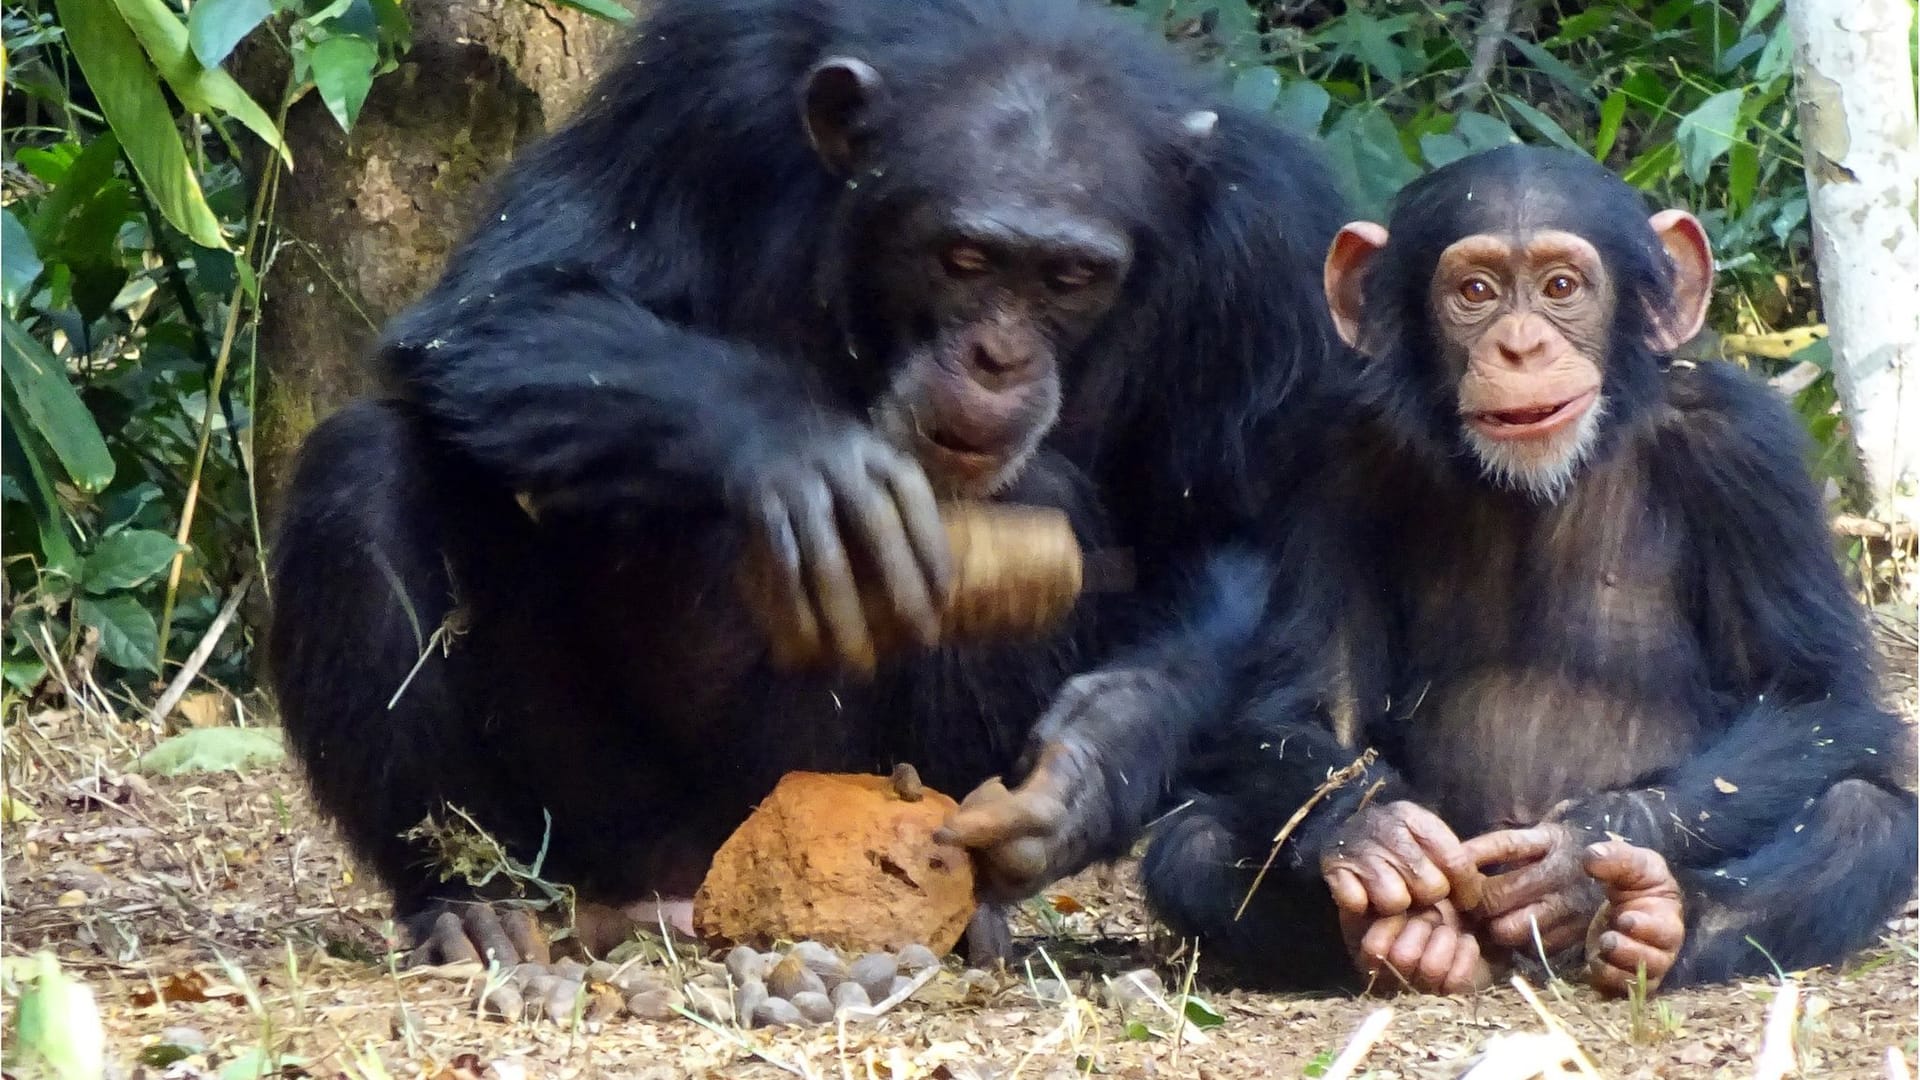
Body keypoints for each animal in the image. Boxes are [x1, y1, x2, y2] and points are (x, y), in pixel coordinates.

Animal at [270, 0, 1351, 960]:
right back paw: (466, 902)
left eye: (1070, 278)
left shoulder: (1266, 244)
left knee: (1033, 496)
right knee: (363, 469)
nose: (997, 358)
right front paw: (799, 453)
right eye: (964, 257)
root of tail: (693, 888)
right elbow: (504, 302)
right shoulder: (698, 89)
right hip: (595, 820)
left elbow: (1241, 530)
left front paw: (1091, 763)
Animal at [1136, 147, 1920, 999]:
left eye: (1561, 287)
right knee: (1193, 844)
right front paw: (1376, 829)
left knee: (1864, 816)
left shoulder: (1748, 447)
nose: (1519, 347)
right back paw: (1405, 942)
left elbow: (1814, 693)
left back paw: (1656, 922)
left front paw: (1579, 851)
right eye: (1475, 292)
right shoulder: (1332, 453)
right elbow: (1309, 699)